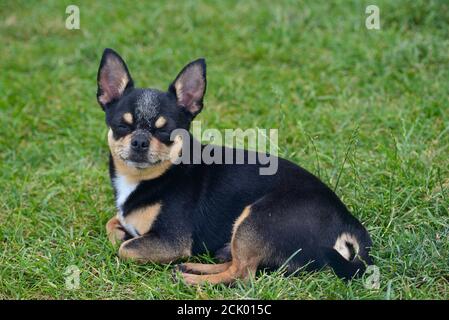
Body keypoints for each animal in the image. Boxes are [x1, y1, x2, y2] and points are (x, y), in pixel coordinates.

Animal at [97, 48, 372, 284]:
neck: (149, 177)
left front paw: (124, 238)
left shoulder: (172, 241)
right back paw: (198, 265)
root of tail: (348, 222)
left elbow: (125, 248)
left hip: (255, 220)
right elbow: (112, 223)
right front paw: (121, 231)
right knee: (237, 264)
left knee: (242, 274)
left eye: (165, 131)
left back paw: (192, 279)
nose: (140, 140)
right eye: (122, 126)